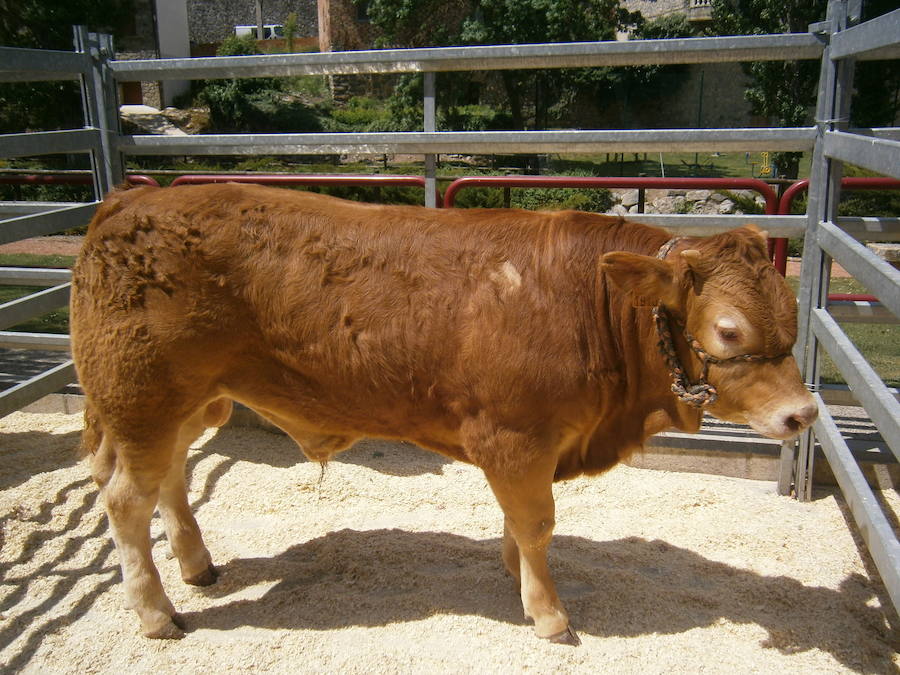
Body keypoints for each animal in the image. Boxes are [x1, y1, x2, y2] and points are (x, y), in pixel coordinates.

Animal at [70, 185, 816, 644]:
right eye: (727, 330)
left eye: (791, 312)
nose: (804, 413)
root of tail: (133, 199)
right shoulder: (515, 437)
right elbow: (538, 524)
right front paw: (548, 613)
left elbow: (519, 523)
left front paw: (513, 572)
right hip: (141, 398)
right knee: (126, 499)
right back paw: (156, 613)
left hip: (191, 403)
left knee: (169, 477)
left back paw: (196, 565)